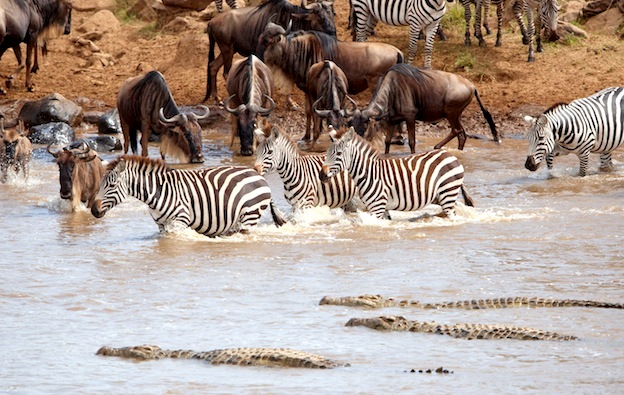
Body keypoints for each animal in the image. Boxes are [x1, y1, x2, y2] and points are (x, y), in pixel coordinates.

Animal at [90, 155, 286, 237]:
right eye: (100, 184)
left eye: (112, 185)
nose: (93, 210)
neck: (158, 192)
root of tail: (258, 175)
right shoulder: (161, 225)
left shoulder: (180, 221)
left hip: (250, 216)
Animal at [322, 128, 472, 220]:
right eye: (327, 153)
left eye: (338, 154)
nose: (321, 175)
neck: (370, 174)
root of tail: (450, 155)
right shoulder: (382, 208)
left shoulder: (377, 208)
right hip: (442, 195)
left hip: (448, 192)